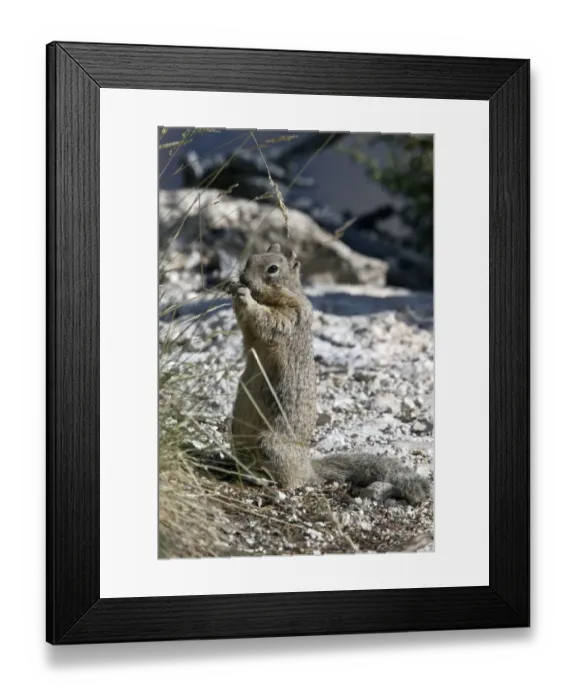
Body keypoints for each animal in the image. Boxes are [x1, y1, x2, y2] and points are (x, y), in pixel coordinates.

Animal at [227, 243, 430, 506]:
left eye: (273, 269)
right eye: (250, 259)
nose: (243, 278)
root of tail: (308, 468)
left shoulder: (292, 315)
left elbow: (270, 320)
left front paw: (245, 297)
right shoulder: (252, 335)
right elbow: (248, 329)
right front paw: (233, 288)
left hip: (269, 444)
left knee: (290, 481)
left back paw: (266, 482)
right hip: (237, 435)